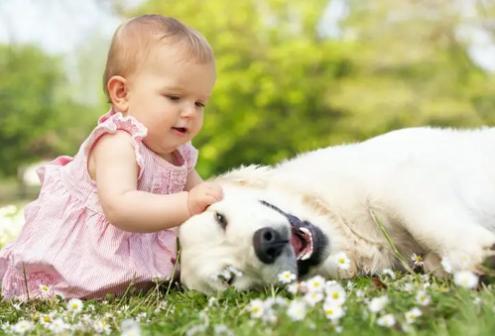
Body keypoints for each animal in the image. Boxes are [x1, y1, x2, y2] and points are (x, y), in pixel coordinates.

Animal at [178, 127, 495, 292]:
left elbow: (423, 221)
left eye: (220, 218)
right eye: (229, 277)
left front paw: (473, 252)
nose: (265, 243)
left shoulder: (401, 177)